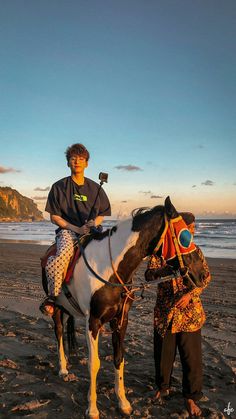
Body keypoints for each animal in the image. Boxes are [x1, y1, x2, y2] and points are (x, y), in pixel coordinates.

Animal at [42, 198, 205, 419]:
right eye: (185, 237)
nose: (202, 273)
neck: (109, 269)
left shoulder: (120, 319)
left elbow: (119, 359)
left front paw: (123, 403)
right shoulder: (93, 321)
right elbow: (94, 363)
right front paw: (92, 408)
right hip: (57, 306)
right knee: (58, 331)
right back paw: (63, 368)